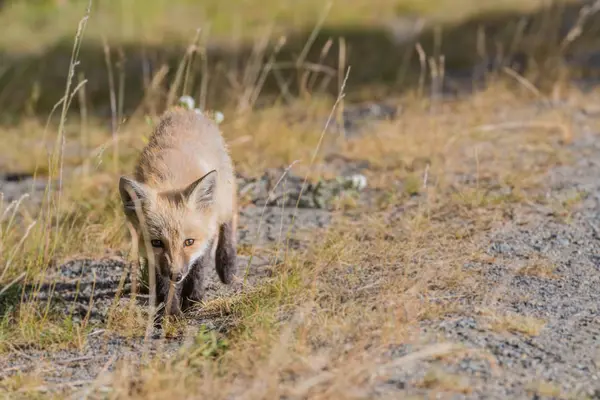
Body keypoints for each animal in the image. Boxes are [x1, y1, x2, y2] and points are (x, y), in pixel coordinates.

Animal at [118, 106, 238, 316]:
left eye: (188, 242)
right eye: (157, 242)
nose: (176, 275)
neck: (171, 179)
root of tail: (187, 111)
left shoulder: (206, 233)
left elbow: (198, 267)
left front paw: (192, 299)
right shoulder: (154, 257)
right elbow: (162, 284)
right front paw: (169, 313)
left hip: (222, 198)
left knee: (230, 218)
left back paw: (227, 265)